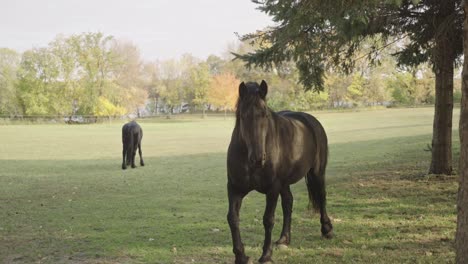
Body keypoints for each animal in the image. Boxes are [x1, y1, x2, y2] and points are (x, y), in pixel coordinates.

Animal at [227, 81, 332, 264]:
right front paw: (241, 255)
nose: (257, 158)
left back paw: (326, 229)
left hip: (317, 173)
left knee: (321, 196)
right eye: (243, 116)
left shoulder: (272, 188)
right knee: (288, 202)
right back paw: (284, 239)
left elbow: (268, 219)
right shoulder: (235, 188)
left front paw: (266, 255)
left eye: (264, 114)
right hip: (285, 183)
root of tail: (310, 120)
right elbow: (233, 218)